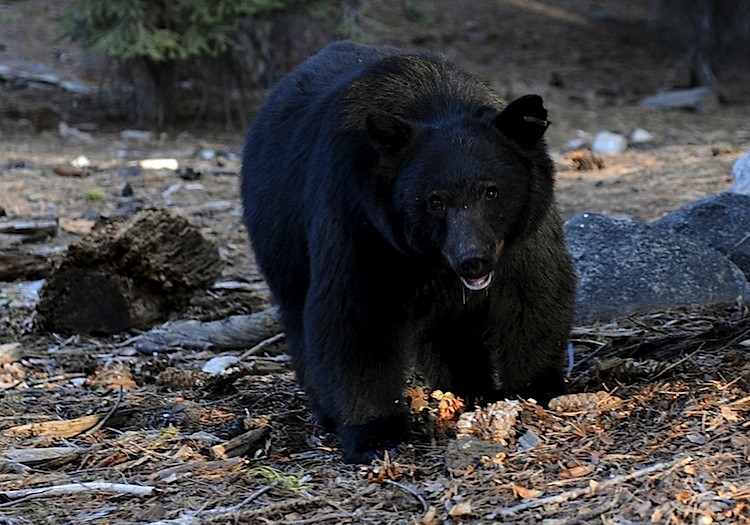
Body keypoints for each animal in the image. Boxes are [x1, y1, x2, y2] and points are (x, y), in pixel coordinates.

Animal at [241, 41, 576, 462]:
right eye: (434, 200)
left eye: (492, 191)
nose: (473, 260)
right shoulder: (361, 222)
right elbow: (356, 316)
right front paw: (376, 434)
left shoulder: (522, 235)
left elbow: (532, 296)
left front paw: (537, 389)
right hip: (280, 238)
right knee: (299, 318)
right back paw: (327, 411)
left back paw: (469, 388)